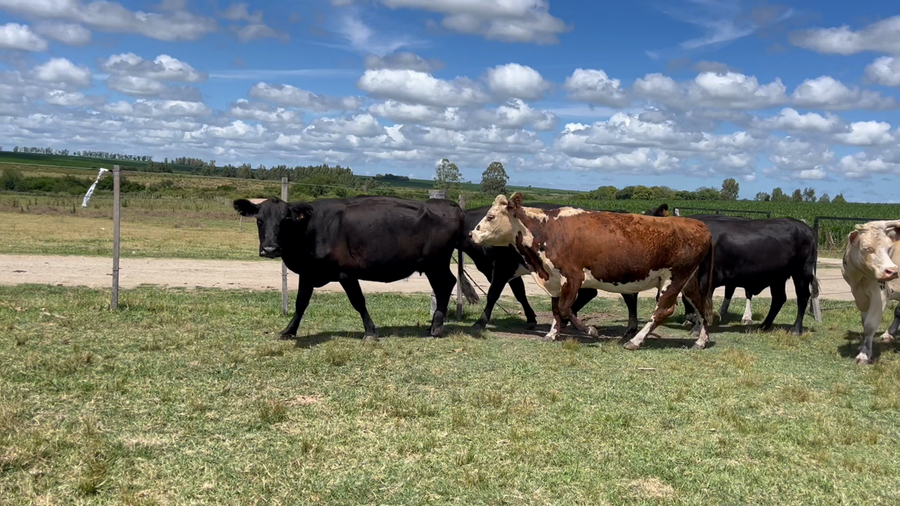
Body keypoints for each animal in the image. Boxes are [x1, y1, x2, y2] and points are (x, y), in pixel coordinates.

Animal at [233, 196, 472, 340]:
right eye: (259, 220)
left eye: (286, 220)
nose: (270, 248)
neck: (312, 230)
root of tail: (448, 205)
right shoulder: (308, 273)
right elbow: (300, 304)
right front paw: (289, 331)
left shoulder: (346, 272)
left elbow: (358, 301)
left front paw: (370, 332)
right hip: (432, 265)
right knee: (443, 287)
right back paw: (433, 324)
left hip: (436, 263)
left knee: (446, 284)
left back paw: (437, 327)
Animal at [468, 192, 716, 350]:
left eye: (491, 216)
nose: (472, 234)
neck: (547, 229)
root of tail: (698, 225)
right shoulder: (555, 279)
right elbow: (556, 310)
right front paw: (552, 334)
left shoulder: (573, 276)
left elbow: (565, 309)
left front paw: (589, 330)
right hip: (688, 282)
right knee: (703, 308)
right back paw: (700, 341)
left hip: (674, 279)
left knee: (663, 310)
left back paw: (635, 341)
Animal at [675, 215, 821, 335]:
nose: (688, 319)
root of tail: (807, 228)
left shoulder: (706, 280)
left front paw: (697, 330)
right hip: (777, 277)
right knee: (779, 298)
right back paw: (763, 326)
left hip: (801, 272)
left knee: (802, 296)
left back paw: (796, 329)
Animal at [841, 220, 900, 364]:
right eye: (866, 248)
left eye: (889, 247)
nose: (893, 271)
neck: (860, 278)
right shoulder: (859, 295)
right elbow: (864, 321)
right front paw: (863, 346)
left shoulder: (881, 294)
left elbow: (870, 325)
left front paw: (864, 355)